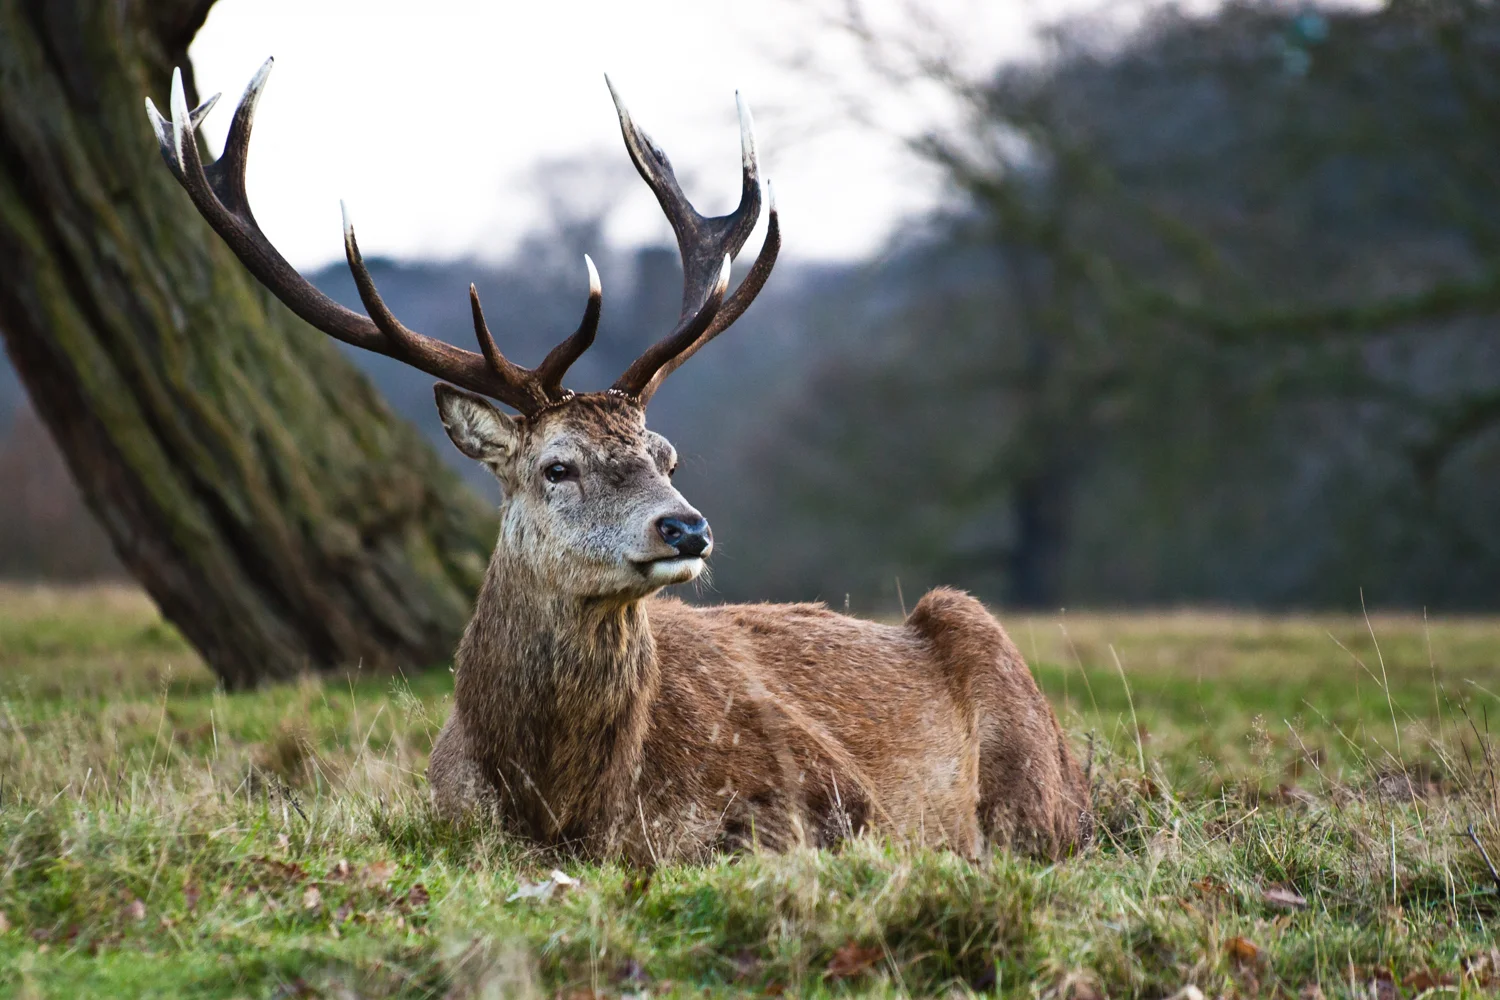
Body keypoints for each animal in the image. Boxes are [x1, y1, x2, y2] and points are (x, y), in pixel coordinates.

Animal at [147, 60, 1091, 863]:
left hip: (1015, 726)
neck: (570, 805)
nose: (687, 527)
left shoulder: (844, 796)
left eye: (664, 453)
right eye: (557, 467)